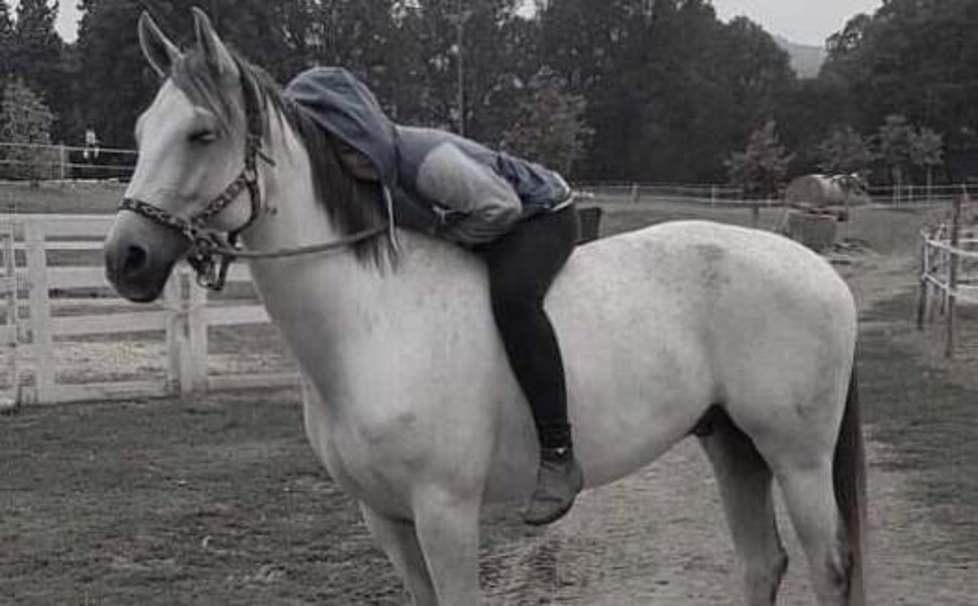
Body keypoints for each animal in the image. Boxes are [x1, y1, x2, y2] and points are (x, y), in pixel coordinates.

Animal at [103, 9, 866, 605]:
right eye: (140, 131)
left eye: (202, 133)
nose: (125, 259)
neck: (370, 325)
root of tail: (819, 271)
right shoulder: (385, 518)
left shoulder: (445, 512)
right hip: (733, 445)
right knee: (763, 564)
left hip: (796, 458)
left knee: (829, 567)